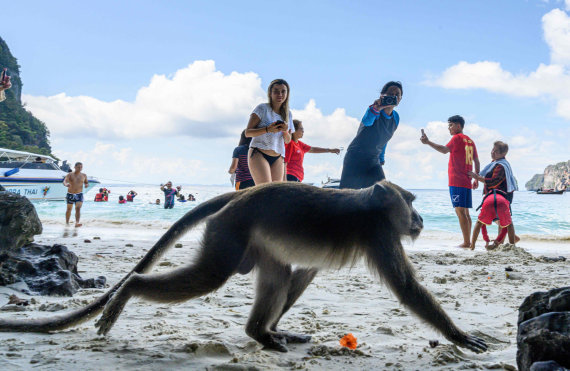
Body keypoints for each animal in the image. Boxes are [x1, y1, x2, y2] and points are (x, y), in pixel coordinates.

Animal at [0, 182, 484, 354]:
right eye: (411, 203)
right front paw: (459, 335)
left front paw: (274, 328)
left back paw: (261, 333)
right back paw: (131, 288)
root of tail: (238, 196)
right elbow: (405, 287)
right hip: (229, 231)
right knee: (210, 276)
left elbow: (303, 275)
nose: (420, 219)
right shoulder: (380, 232)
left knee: (277, 274)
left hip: (251, 238)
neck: (373, 202)